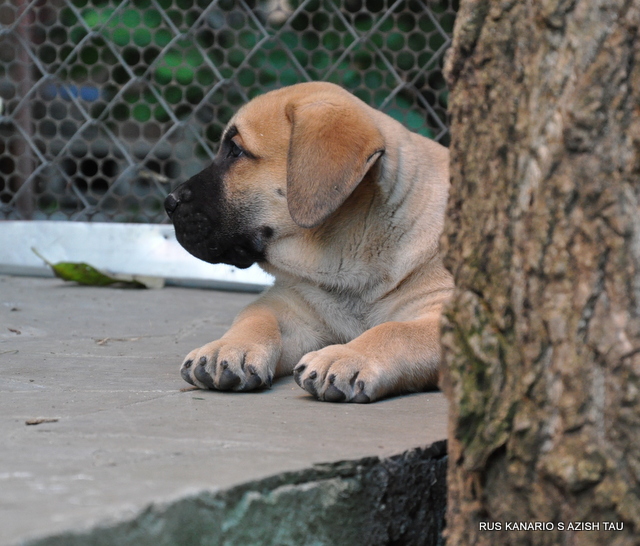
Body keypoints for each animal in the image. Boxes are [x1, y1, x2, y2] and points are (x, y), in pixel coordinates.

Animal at [166, 83, 456, 402]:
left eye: (236, 151)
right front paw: (227, 348)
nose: (169, 202)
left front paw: (346, 357)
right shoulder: (291, 304)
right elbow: (255, 316)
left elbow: (395, 331)